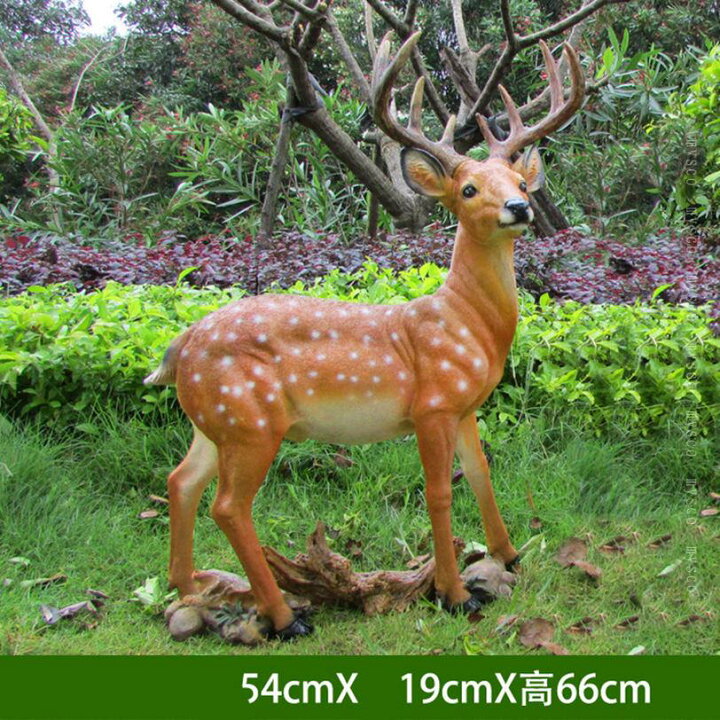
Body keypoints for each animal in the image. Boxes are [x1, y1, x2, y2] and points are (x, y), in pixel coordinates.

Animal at [144, 31, 585, 640]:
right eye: (470, 189)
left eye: (521, 182)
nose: (520, 207)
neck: (467, 324)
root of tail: (179, 346)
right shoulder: (431, 405)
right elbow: (439, 492)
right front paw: (453, 594)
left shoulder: (465, 406)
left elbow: (481, 474)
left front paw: (510, 554)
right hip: (250, 421)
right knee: (228, 506)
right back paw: (284, 617)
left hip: (216, 420)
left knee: (180, 480)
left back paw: (191, 586)